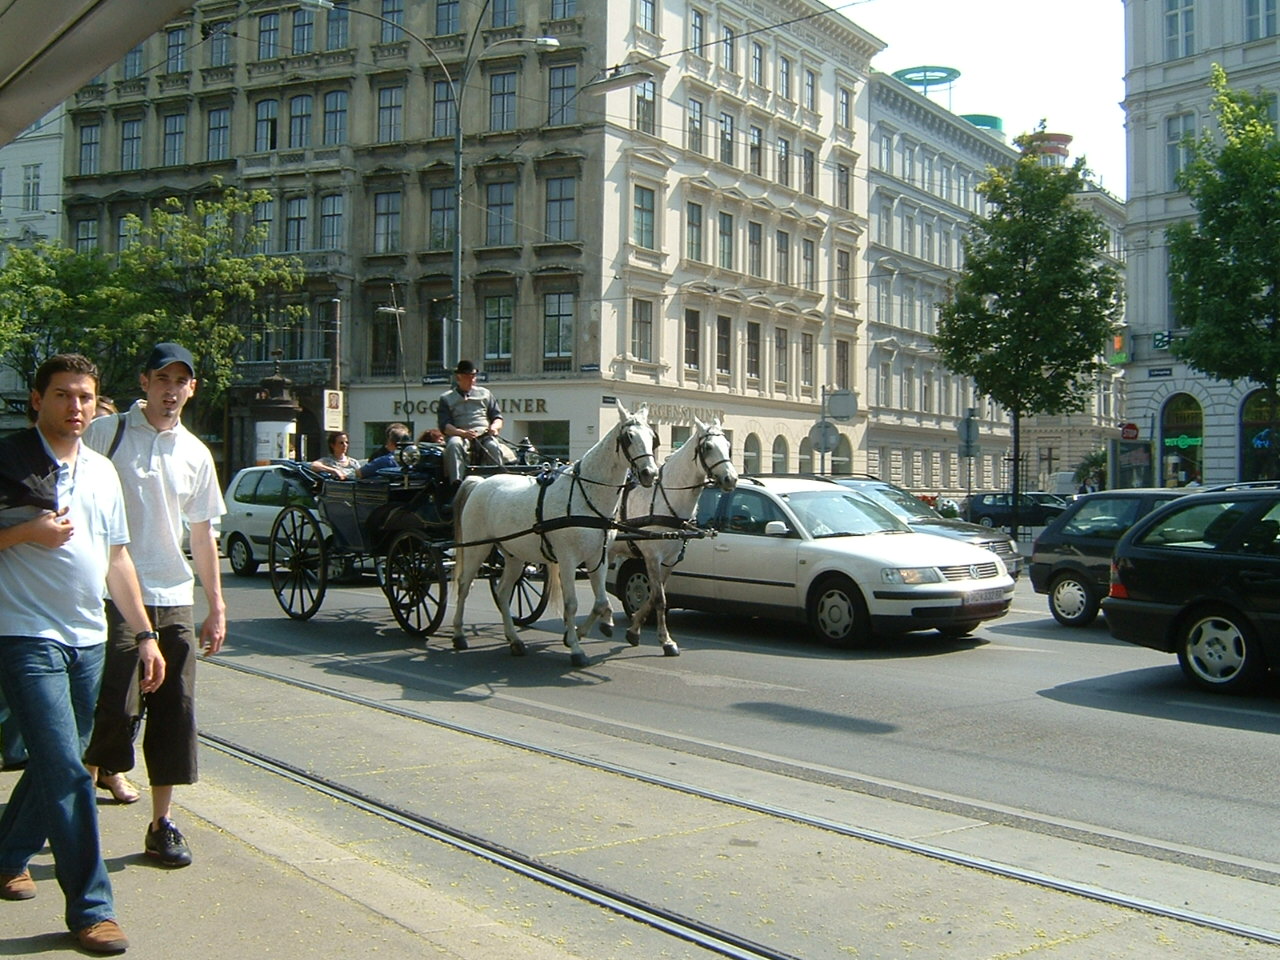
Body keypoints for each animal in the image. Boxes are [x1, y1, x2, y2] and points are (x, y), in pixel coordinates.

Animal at [450, 399, 655, 670]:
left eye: (652, 437)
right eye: (629, 437)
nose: (650, 474)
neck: (586, 494)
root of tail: (479, 481)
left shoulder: (597, 558)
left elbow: (601, 602)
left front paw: (587, 631)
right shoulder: (568, 560)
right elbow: (571, 604)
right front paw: (576, 649)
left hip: (514, 556)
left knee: (503, 592)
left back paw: (514, 640)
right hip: (477, 548)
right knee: (464, 586)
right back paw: (459, 634)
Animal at [611, 422, 737, 660]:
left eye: (728, 445)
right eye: (707, 447)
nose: (731, 479)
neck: (667, 499)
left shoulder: (670, 560)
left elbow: (655, 596)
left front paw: (635, 629)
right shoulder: (652, 557)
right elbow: (659, 598)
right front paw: (666, 641)